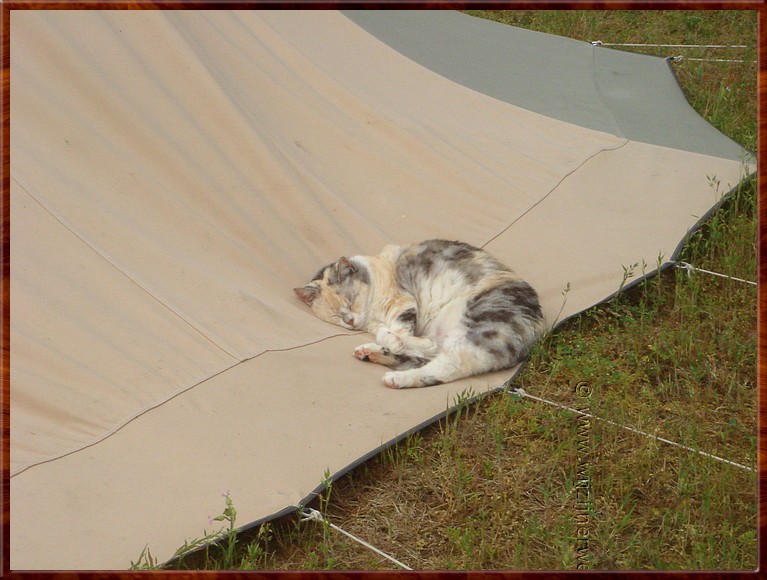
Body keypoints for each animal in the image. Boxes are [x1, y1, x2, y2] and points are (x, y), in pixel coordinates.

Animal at [294, 240, 544, 390]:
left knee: (448, 366)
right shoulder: (378, 323)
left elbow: (400, 330)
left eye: (351, 299)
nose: (350, 321)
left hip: (479, 325)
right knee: (428, 357)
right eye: (335, 315)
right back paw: (371, 353)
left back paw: (395, 377)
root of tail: (538, 327)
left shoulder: (403, 303)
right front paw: (389, 341)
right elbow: (388, 333)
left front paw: (398, 340)